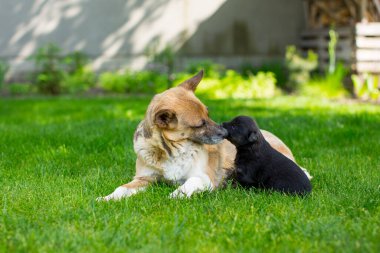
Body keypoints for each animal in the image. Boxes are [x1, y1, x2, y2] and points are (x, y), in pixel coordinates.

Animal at [97, 70, 296, 201]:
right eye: (200, 124)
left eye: (208, 114)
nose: (225, 133)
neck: (172, 150)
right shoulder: (143, 179)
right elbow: (122, 189)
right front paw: (107, 198)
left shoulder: (203, 177)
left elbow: (189, 182)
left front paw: (175, 194)